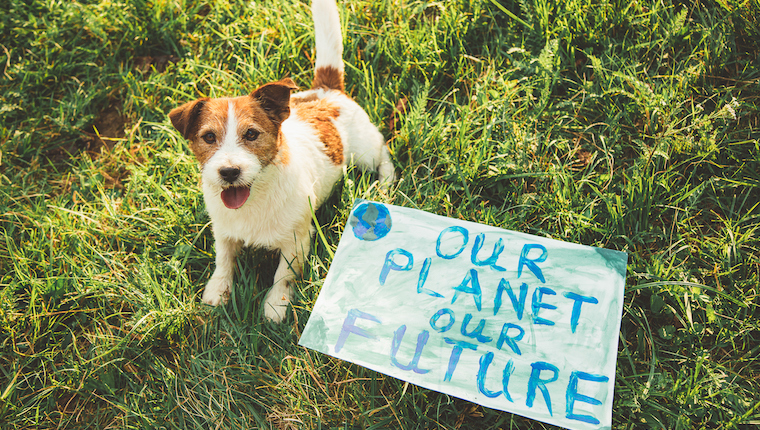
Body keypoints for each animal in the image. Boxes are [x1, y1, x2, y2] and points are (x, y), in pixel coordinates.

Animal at [166, 0, 392, 320]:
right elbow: (223, 261)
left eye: (251, 133)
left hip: (365, 152)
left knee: (384, 153)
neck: (255, 198)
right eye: (208, 137)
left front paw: (276, 305)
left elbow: (283, 274)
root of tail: (327, 90)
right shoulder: (223, 232)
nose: (229, 172)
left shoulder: (297, 239)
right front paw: (217, 291)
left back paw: (385, 185)